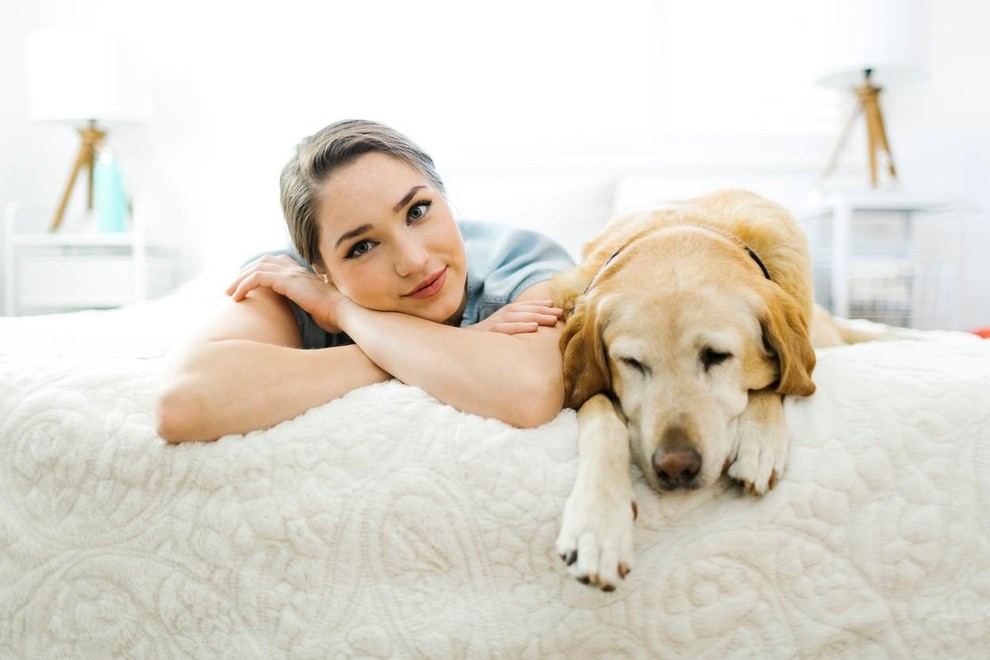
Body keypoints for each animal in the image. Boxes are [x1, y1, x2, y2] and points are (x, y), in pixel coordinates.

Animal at [556, 188, 816, 592]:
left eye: (716, 356)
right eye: (632, 362)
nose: (676, 467)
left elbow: (777, 382)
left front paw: (759, 443)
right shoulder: (584, 386)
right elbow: (602, 418)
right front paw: (597, 524)